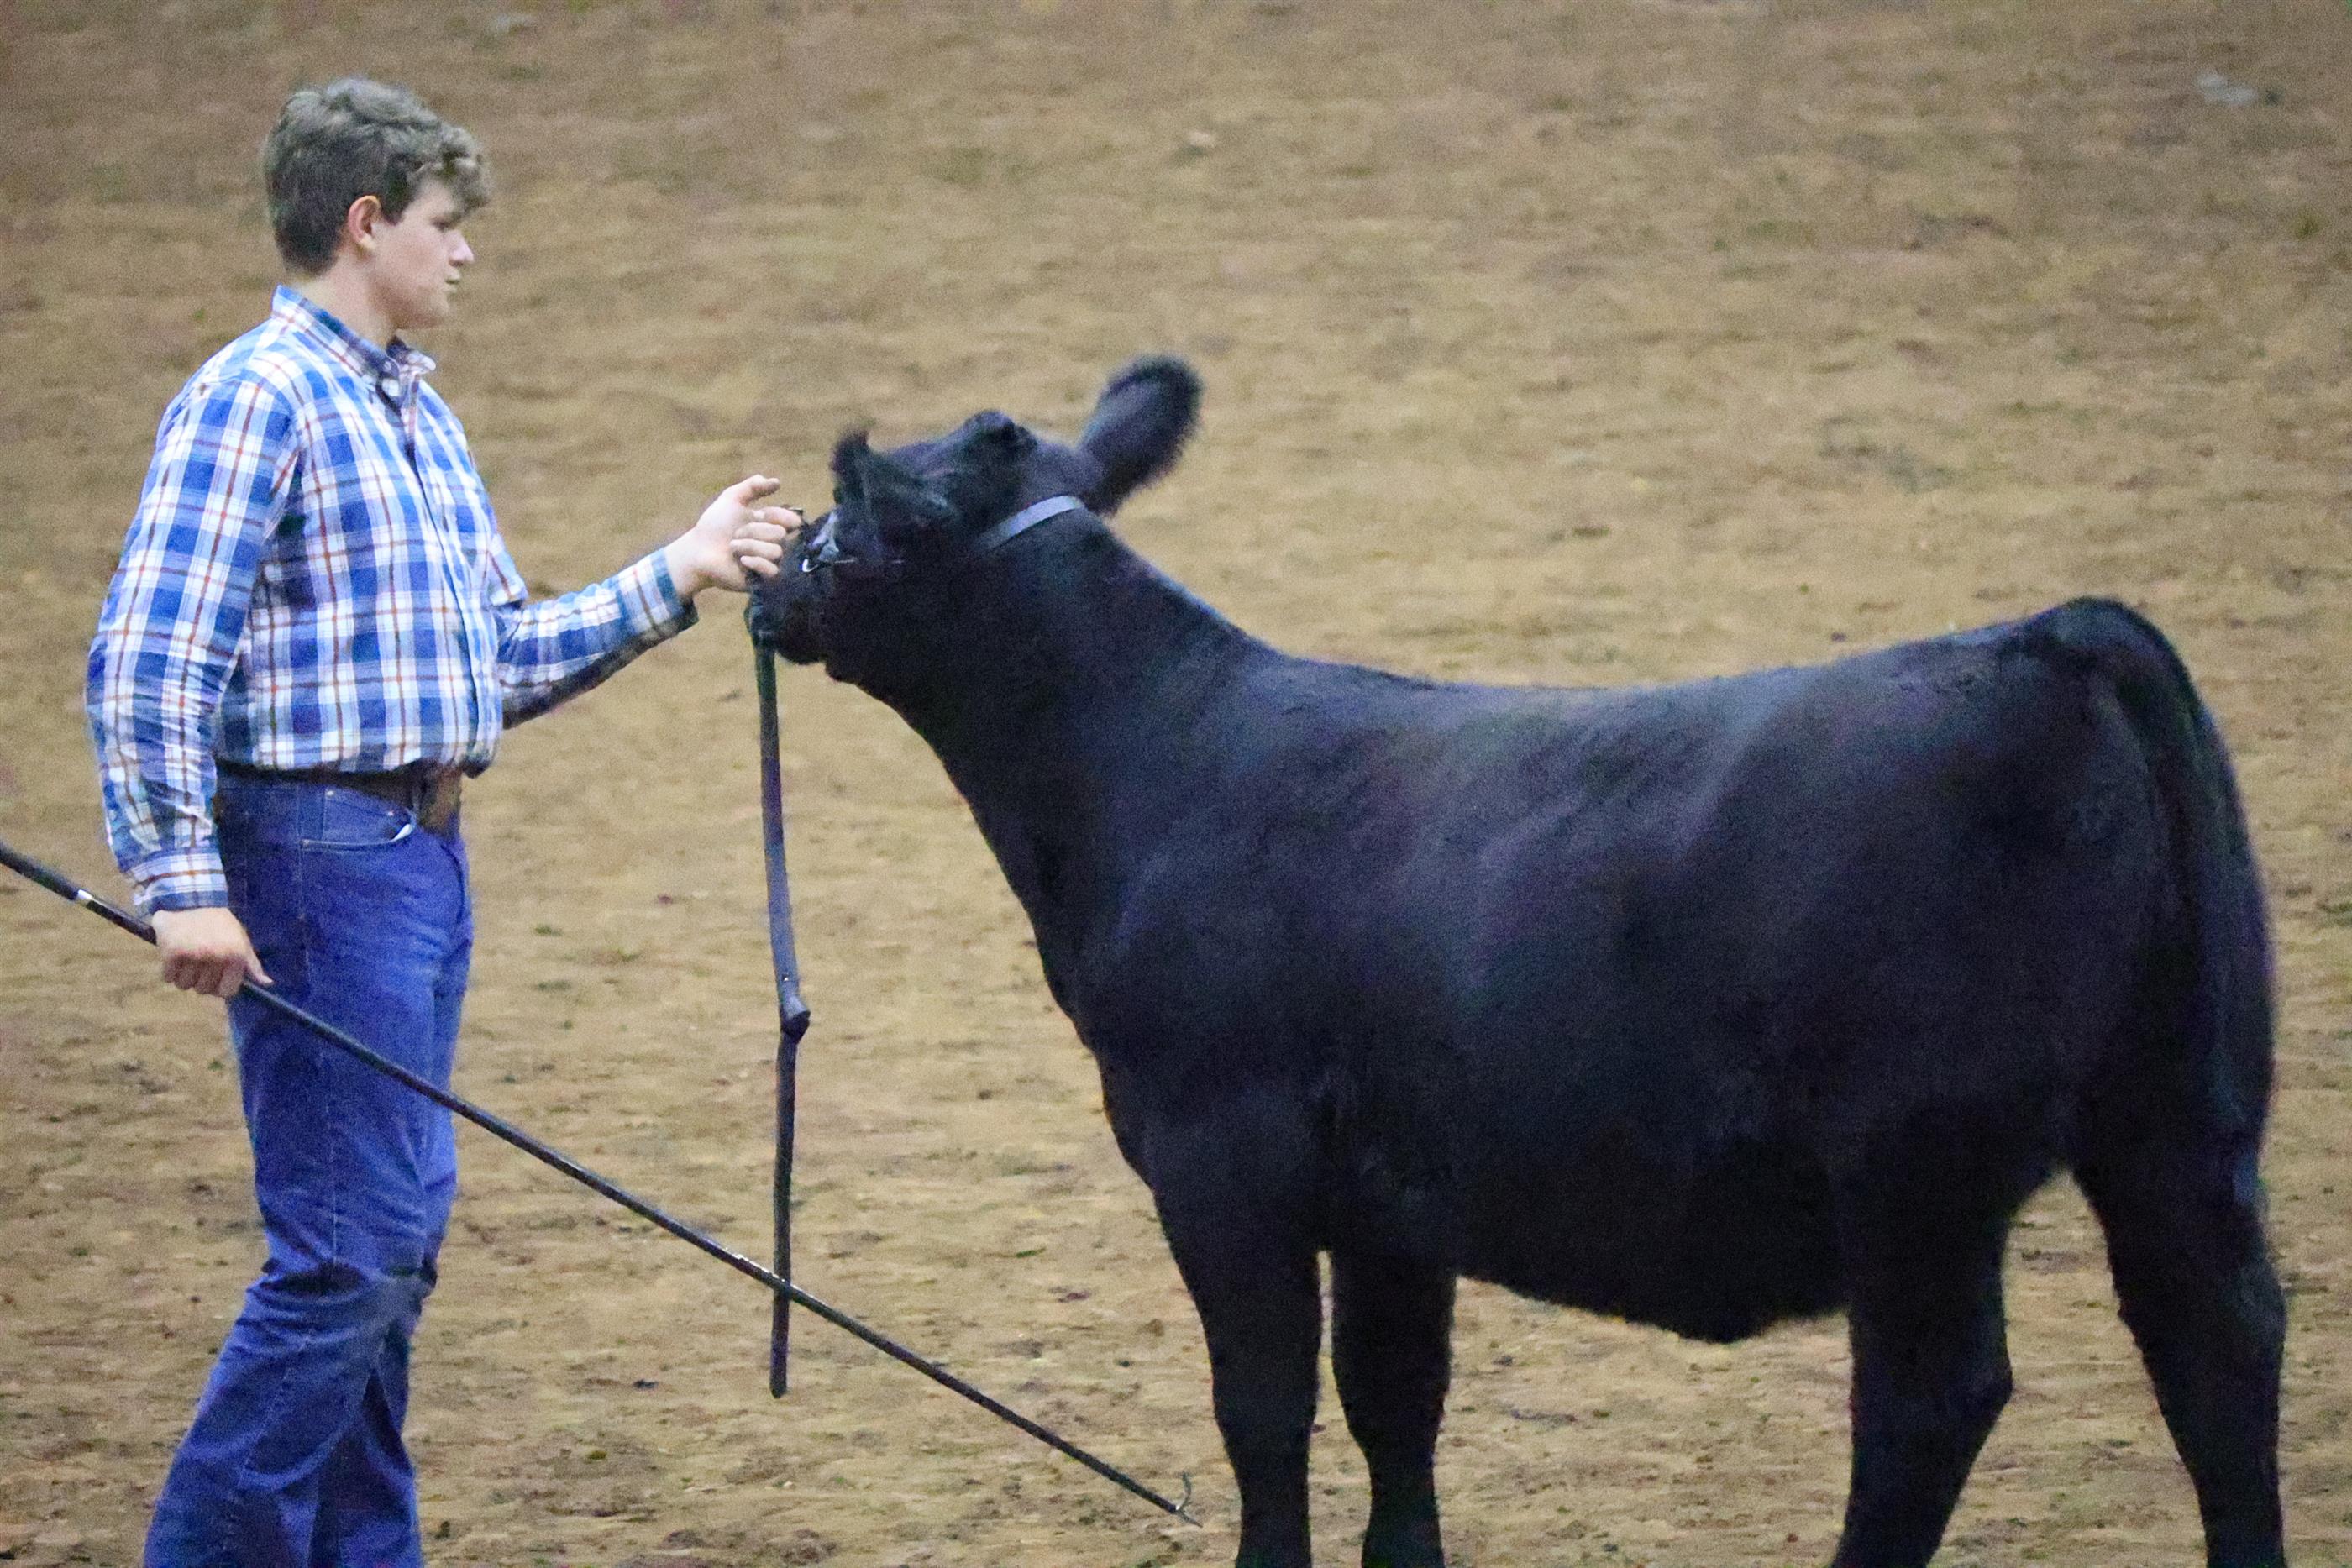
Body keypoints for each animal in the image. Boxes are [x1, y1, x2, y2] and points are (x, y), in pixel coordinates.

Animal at [748, 358, 2285, 1568]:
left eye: (847, 526)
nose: (766, 583)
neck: (1159, 760)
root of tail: (2046, 640)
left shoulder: (1218, 1153)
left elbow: (1266, 1405)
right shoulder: (1388, 1193)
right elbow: (1396, 1399)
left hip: (1920, 1171)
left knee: (1930, 1402)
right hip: (2179, 1122)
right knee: (2220, 1348)